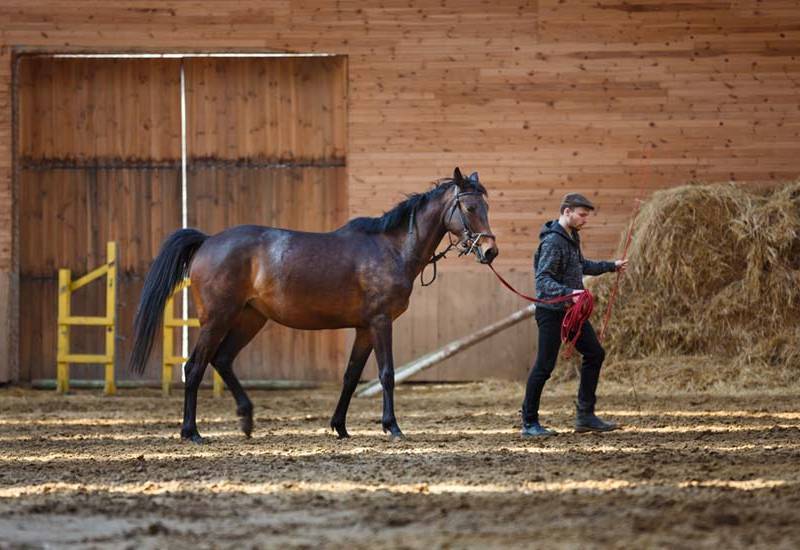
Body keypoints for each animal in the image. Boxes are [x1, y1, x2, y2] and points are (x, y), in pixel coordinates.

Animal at [128, 167, 496, 444]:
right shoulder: (381, 322)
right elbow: (386, 374)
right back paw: (191, 432)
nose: (490, 251)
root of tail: (207, 241)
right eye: (469, 208)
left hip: (249, 319)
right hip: (217, 319)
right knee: (195, 367)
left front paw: (340, 426)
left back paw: (246, 418)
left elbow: (351, 376)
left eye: (486, 208)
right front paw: (392, 426)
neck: (391, 248)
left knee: (222, 360)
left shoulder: (364, 328)